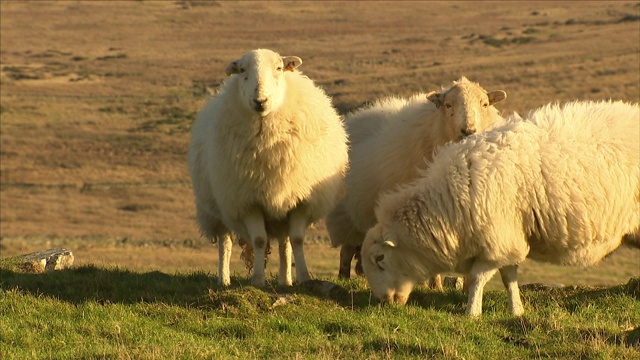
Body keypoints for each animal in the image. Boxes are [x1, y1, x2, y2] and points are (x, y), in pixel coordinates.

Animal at [189, 50, 350, 286]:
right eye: (242, 70)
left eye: (279, 68)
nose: (260, 101)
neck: (267, 139)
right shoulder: (248, 200)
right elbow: (258, 240)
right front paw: (257, 280)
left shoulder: (301, 199)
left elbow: (297, 240)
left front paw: (304, 278)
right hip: (217, 208)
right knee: (224, 242)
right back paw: (224, 279)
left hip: (281, 208)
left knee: (285, 243)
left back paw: (285, 281)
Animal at [328, 77, 508, 282]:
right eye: (448, 105)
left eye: (484, 104)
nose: (468, 130)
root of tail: (358, 117)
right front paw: (436, 285)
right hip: (347, 217)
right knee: (346, 250)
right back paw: (344, 277)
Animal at [360, 100, 640, 316]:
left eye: (380, 259)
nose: (384, 301)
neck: (447, 205)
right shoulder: (508, 237)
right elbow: (508, 277)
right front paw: (517, 311)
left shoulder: (498, 238)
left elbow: (478, 278)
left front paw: (472, 312)